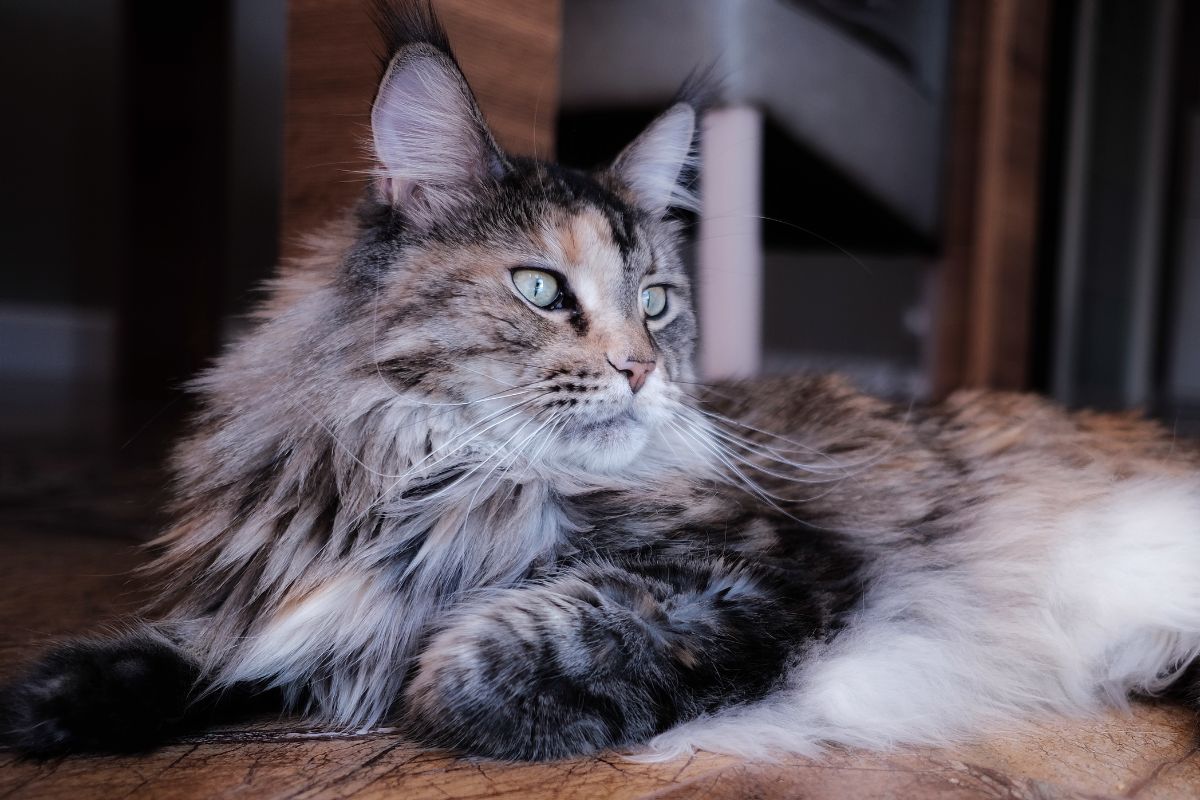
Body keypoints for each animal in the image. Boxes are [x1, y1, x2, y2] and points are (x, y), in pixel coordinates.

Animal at [2, 0, 1200, 762]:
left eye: (658, 301)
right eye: (541, 287)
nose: (640, 364)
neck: (437, 487)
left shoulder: (774, 574)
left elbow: (491, 655)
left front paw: (465, 692)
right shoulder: (297, 600)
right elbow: (201, 654)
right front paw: (48, 704)